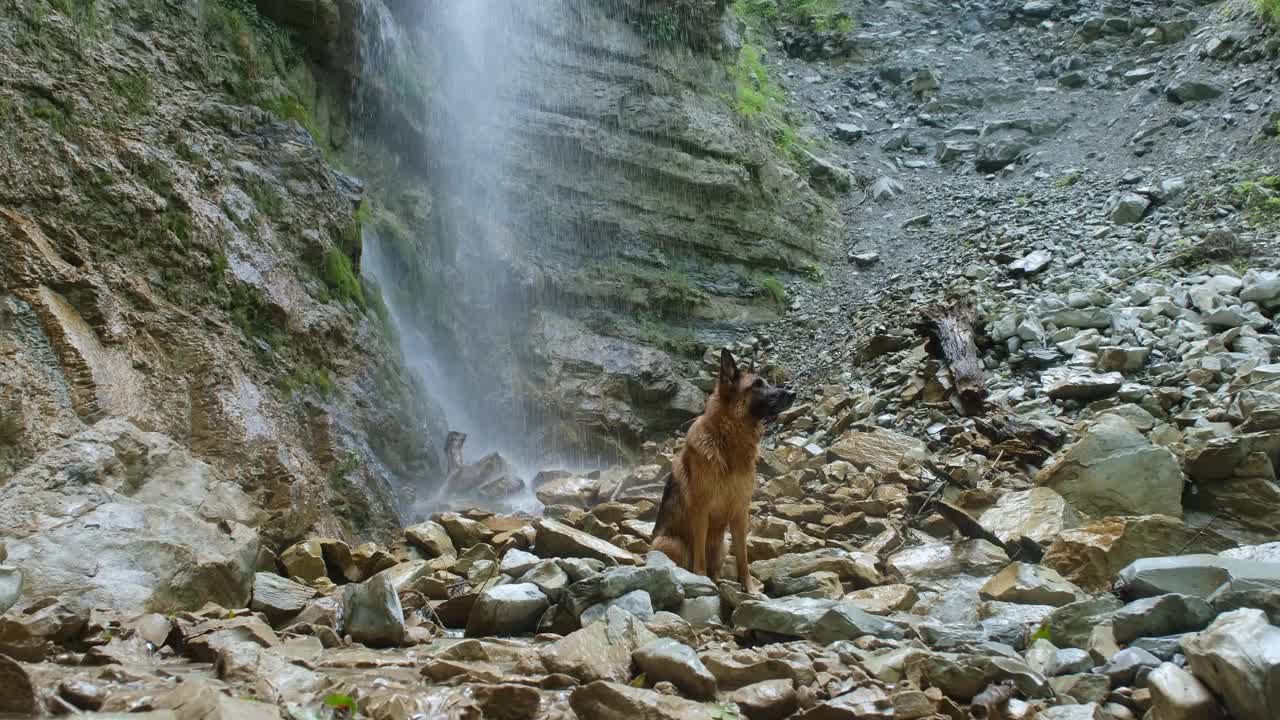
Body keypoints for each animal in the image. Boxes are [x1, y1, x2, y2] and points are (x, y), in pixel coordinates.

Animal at [655, 345, 793, 589]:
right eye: (757, 384)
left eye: (767, 382)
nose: (793, 393)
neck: (728, 441)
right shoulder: (701, 511)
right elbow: (699, 554)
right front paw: (700, 578)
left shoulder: (740, 512)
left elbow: (743, 557)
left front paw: (750, 588)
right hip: (671, 544)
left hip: (722, 545)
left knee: (717, 567)